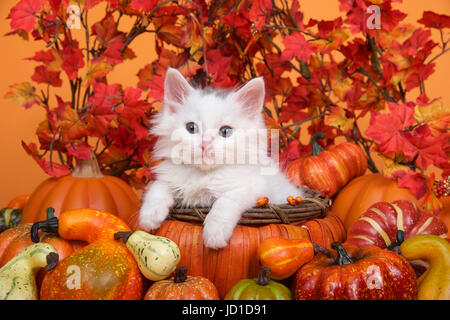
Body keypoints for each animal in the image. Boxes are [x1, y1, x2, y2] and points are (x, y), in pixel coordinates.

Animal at [138, 67, 306, 249]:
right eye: (191, 128)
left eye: (225, 131)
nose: (205, 143)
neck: (203, 174)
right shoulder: (169, 178)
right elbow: (157, 187)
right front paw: (149, 216)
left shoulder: (252, 188)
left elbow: (224, 202)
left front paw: (214, 234)